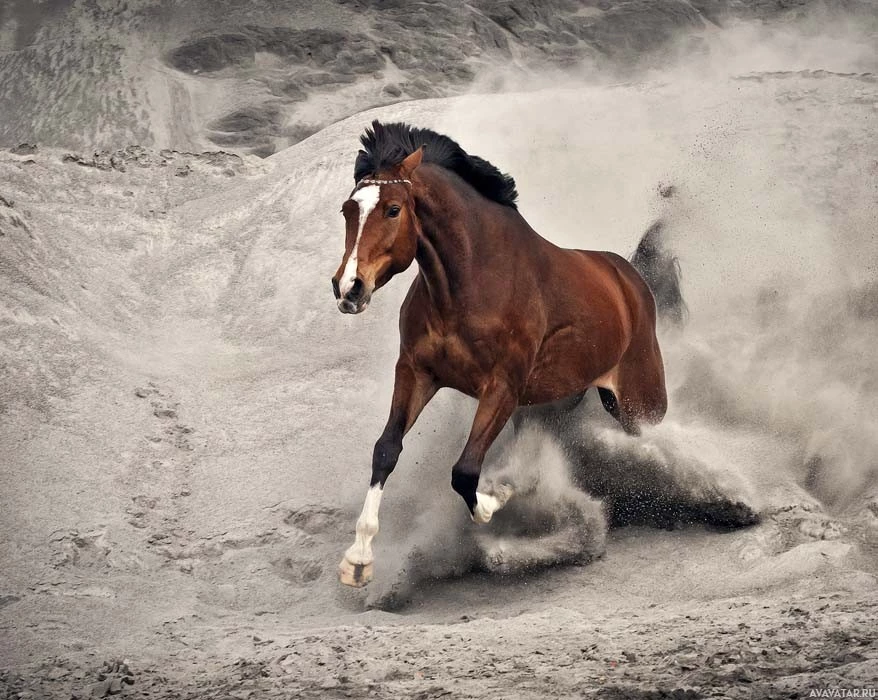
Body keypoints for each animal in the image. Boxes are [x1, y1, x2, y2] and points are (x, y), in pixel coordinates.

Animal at [334, 120, 684, 584]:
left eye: (393, 209)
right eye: (347, 211)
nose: (348, 288)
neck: (471, 281)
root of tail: (630, 278)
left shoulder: (502, 387)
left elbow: (466, 472)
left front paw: (500, 493)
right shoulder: (416, 372)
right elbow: (386, 450)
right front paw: (358, 560)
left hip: (639, 401)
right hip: (561, 399)